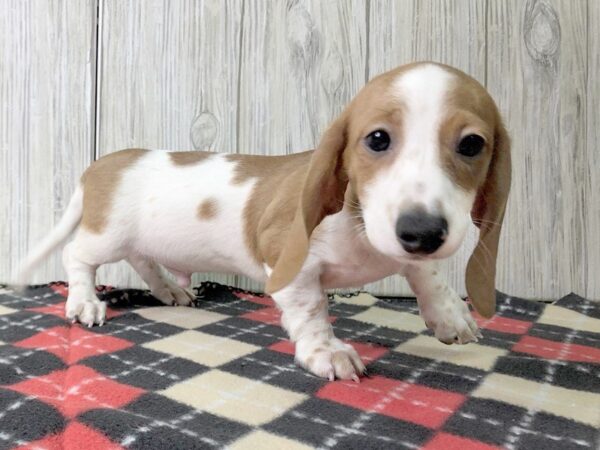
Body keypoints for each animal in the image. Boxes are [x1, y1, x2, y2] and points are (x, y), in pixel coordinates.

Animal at [14, 61, 510, 382]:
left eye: (472, 144)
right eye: (377, 139)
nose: (422, 231)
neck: (357, 223)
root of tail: (101, 165)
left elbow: (426, 272)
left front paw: (449, 314)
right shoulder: (290, 266)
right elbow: (311, 310)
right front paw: (327, 351)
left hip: (137, 240)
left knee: (143, 261)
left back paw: (169, 290)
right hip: (107, 235)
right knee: (77, 256)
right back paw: (84, 302)